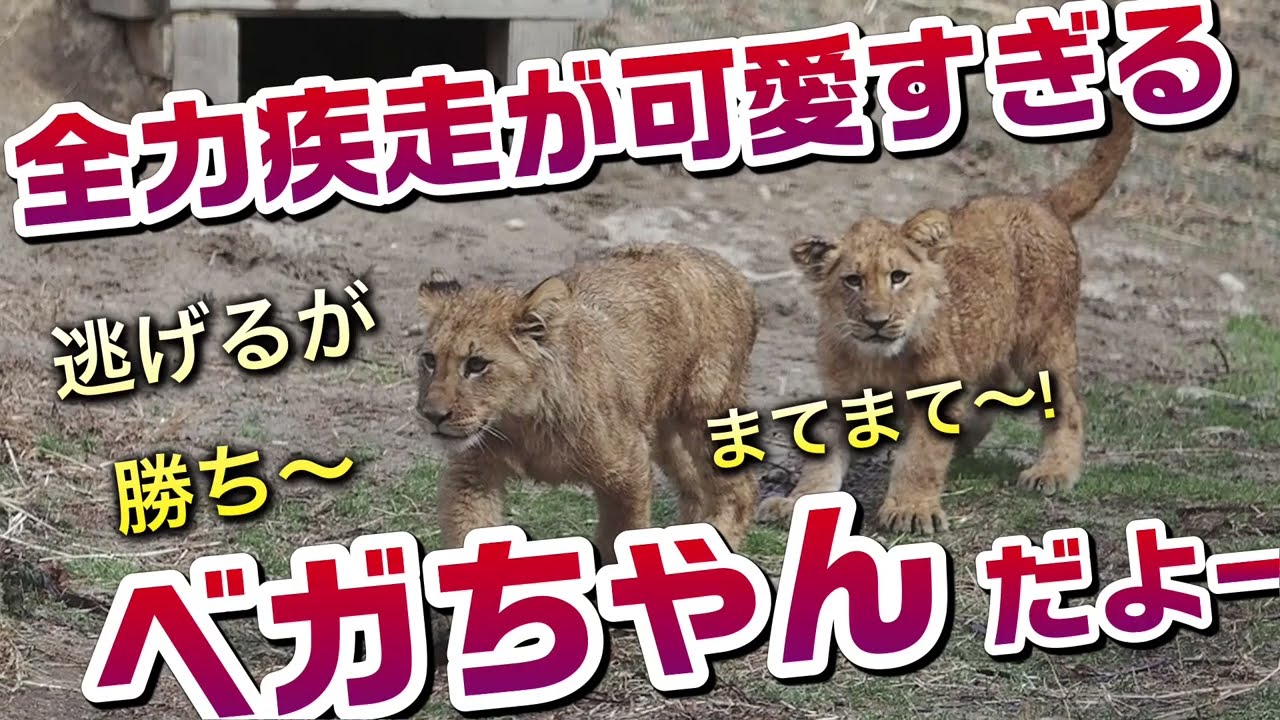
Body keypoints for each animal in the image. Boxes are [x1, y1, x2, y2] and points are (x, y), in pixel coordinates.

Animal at [415, 243, 760, 562]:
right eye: (430, 360)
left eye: (476, 364)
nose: (432, 415)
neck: (522, 423)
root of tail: (727, 268)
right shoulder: (471, 474)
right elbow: (468, 533)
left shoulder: (628, 468)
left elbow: (621, 533)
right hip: (663, 429)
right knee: (694, 487)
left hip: (705, 407)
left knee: (739, 490)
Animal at [758, 97, 1136, 534]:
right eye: (852, 281)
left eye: (898, 277)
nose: (877, 321)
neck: (879, 361)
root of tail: (1039, 202)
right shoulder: (843, 394)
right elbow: (822, 461)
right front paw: (798, 502)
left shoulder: (934, 393)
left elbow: (922, 458)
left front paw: (911, 508)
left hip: (1043, 338)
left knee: (1069, 407)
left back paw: (1053, 471)